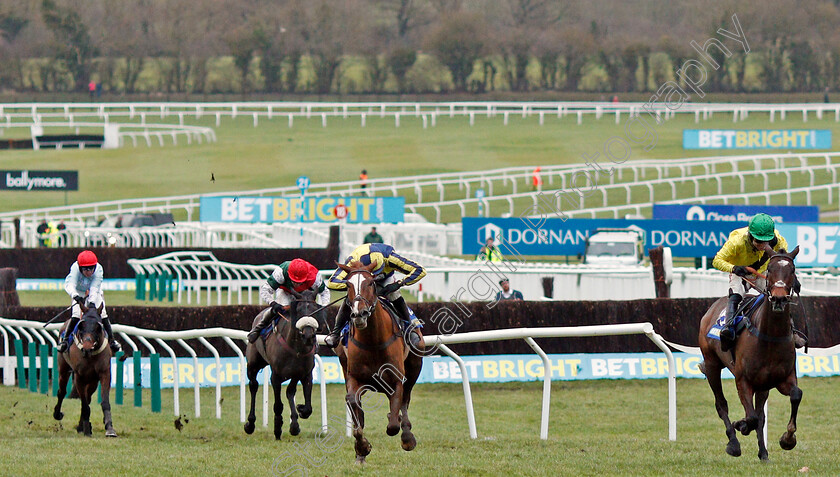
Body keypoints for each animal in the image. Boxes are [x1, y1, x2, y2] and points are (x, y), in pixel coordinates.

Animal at [53, 304, 116, 436]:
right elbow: (84, 403)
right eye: (81, 326)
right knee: (62, 392)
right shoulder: (79, 377)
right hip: (63, 370)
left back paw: (81, 425)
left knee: (88, 398)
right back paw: (58, 414)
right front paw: (86, 429)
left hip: (92, 381)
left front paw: (109, 428)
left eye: (98, 327)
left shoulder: (104, 374)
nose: (87, 348)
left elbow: (104, 402)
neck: (90, 355)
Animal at [244, 286, 324, 438]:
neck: (296, 347)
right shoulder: (275, 375)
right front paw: (277, 427)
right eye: (299, 310)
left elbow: (304, 403)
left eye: (315, 309)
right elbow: (278, 404)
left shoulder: (303, 374)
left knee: (289, 392)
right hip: (253, 364)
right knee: (253, 385)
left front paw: (297, 417)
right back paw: (250, 424)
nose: (308, 335)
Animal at [334, 262, 424, 462]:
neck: (373, 342)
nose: (359, 314)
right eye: (348, 285)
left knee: (406, 399)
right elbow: (354, 408)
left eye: (370, 283)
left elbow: (393, 426)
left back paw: (406, 434)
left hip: (415, 366)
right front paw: (362, 447)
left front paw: (405, 436)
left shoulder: (396, 380)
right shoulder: (354, 378)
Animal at [700, 245, 804, 458]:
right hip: (712, 364)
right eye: (770, 269)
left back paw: (763, 453)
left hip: (763, 385)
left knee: (760, 415)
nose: (779, 299)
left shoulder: (783, 378)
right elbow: (752, 418)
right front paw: (740, 425)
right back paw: (733, 443)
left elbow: (795, 395)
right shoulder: (743, 381)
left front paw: (788, 439)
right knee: (721, 404)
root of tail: (712, 308)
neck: (770, 337)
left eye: (792, 270)